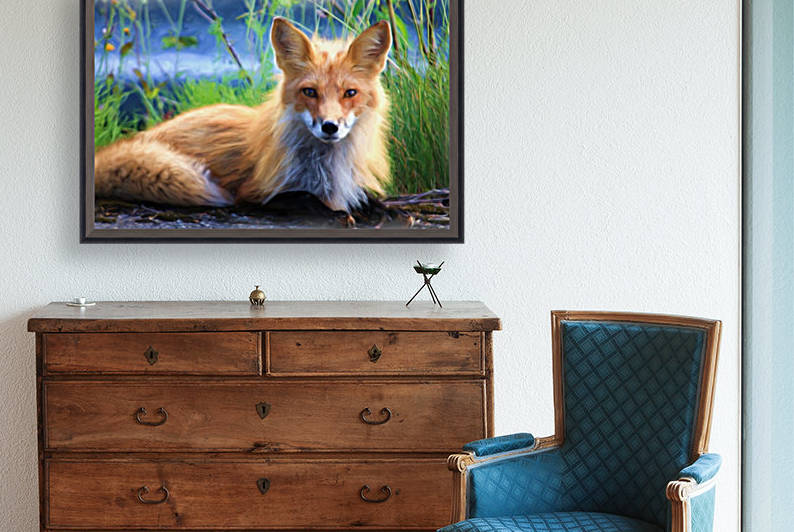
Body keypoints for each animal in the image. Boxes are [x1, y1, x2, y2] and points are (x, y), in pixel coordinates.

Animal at [95, 17, 393, 213]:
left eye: (350, 93)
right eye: (310, 92)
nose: (330, 127)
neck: (325, 170)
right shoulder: (256, 193)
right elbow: (307, 200)